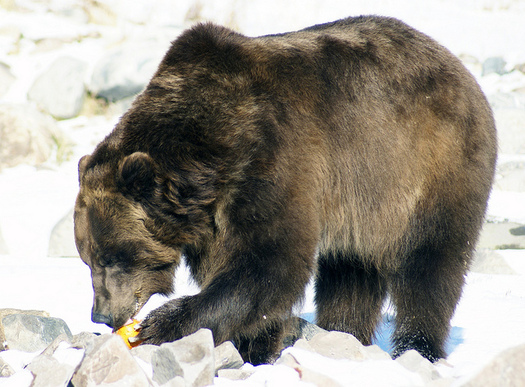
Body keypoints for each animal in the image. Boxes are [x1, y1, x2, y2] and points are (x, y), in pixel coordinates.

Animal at [73, 15, 496, 366]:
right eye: (87, 258)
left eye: (113, 257)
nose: (102, 314)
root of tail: (458, 66)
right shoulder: (215, 216)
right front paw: (256, 345)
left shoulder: (275, 160)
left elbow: (270, 260)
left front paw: (162, 323)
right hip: (364, 207)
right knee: (350, 273)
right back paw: (343, 333)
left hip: (431, 170)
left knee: (431, 266)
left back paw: (418, 347)